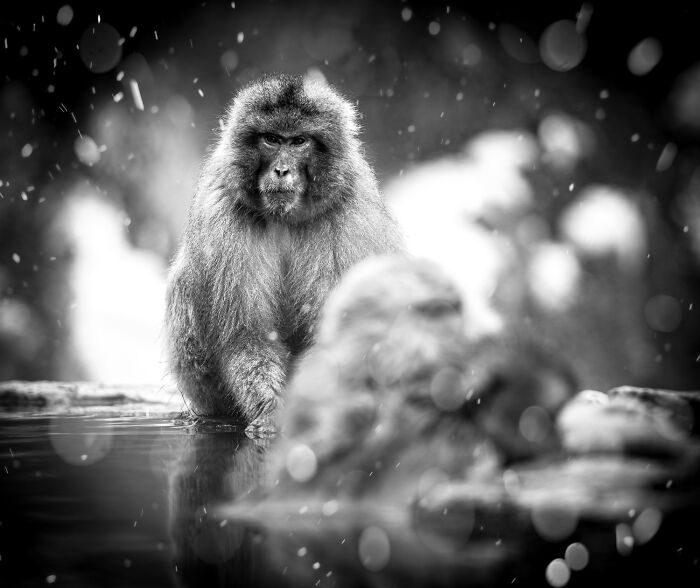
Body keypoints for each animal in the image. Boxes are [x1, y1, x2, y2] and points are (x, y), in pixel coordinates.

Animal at [165, 74, 404, 433]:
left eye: (299, 142)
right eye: (272, 139)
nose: (281, 170)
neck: (286, 217)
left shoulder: (351, 216)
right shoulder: (222, 215)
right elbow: (247, 334)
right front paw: (270, 411)